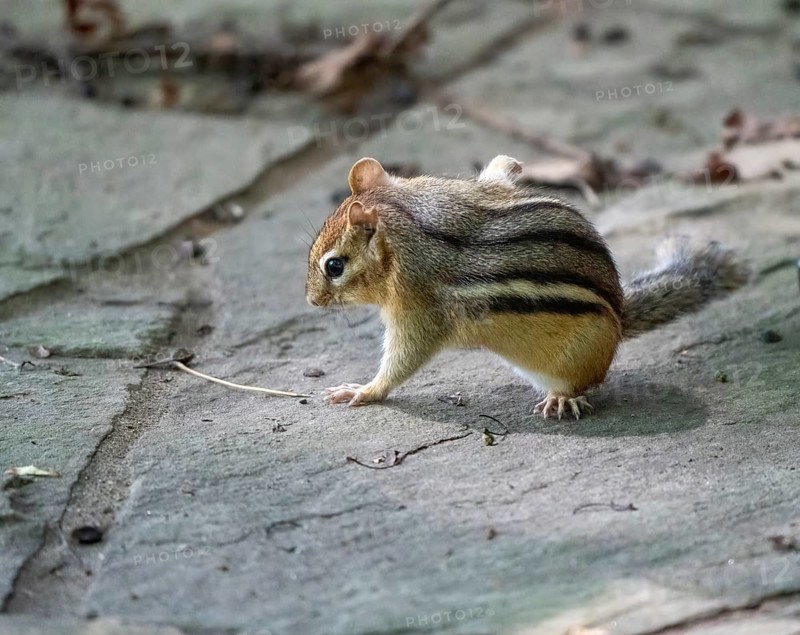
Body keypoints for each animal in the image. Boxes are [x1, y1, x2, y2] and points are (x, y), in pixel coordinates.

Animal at [305, 156, 748, 419]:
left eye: (334, 266)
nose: (311, 299)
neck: (410, 221)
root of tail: (620, 318)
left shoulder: (419, 313)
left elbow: (401, 362)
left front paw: (363, 390)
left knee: (588, 383)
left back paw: (563, 398)